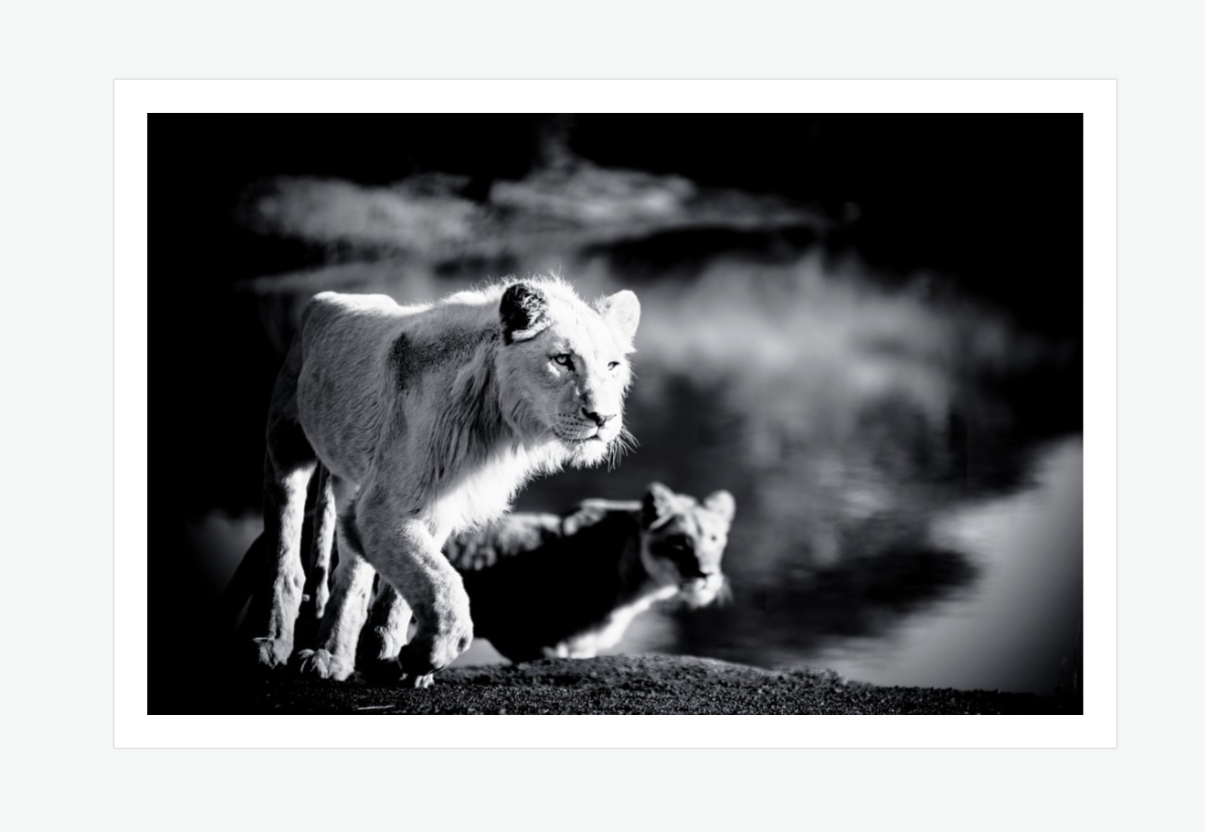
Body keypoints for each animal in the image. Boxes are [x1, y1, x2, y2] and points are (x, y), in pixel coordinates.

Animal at [251, 277, 641, 687]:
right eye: (562, 360)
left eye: (612, 365)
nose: (603, 418)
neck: (494, 421)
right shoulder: (383, 507)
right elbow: (443, 586)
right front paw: (425, 654)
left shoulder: (433, 506)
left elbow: (402, 592)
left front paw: (390, 660)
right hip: (285, 447)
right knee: (286, 555)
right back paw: (274, 645)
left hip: (348, 482)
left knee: (351, 574)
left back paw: (333, 657)